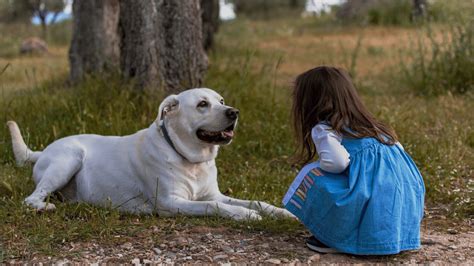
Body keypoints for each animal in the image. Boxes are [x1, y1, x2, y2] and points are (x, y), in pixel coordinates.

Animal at [8, 88, 292, 220]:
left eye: (221, 101)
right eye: (202, 104)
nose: (234, 112)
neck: (191, 159)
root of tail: (42, 151)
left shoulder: (213, 193)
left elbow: (254, 201)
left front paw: (281, 212)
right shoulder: (171, 203)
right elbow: (214, 206)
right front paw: (245, 215)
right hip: (68, 159)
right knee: (30, 199)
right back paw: (44, 207)